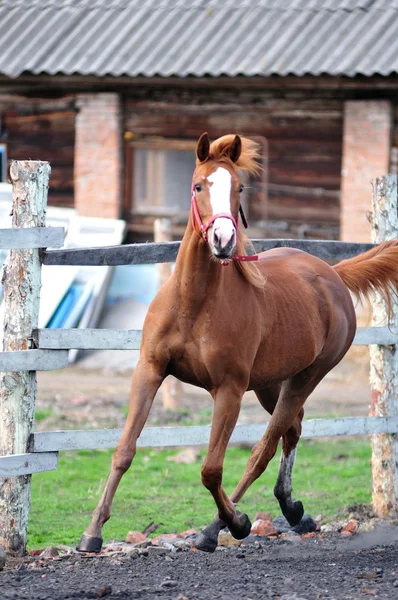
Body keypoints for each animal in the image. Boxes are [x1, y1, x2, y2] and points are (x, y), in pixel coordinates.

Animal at [77, 131, 398, 552]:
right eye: (198, 185)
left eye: (239, 188)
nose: (223, 238)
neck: (193, 303)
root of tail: (333, 274)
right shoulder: (149, 371)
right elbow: (123, 451)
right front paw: (92, 532)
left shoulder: (228, 389)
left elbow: (211, 469)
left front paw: (238, 522)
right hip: (269, 384)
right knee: (293, 430)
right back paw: (293, 509)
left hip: (306, 377)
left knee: (264, 449)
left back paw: (217, 528)